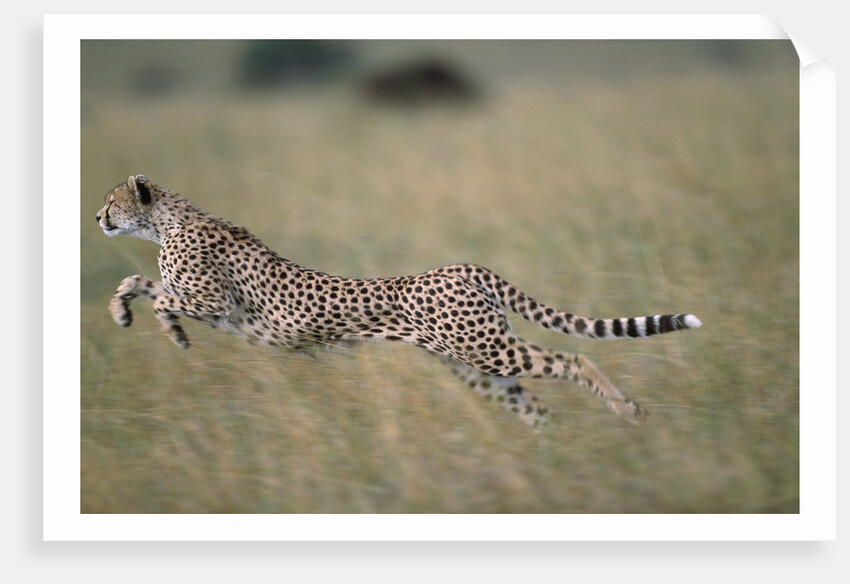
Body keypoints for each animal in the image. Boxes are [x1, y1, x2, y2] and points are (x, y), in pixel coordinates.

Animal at [96, 175, 702, 428]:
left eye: (110, 200)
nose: (98, 217)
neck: (168, 221)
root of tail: (459, 266)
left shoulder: (214, 303)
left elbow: (161, 297)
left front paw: (169, 331)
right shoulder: (206, 302)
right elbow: (137, 282)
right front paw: (122, 310)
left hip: (487, 350)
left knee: (573, 359)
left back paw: (624, 410)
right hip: (474, 365)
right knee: (535, 405)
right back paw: (550, 451)